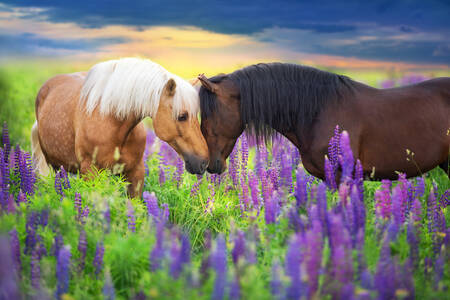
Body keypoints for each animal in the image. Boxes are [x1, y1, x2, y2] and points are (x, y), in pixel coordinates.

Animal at [31, 57, 209, 198]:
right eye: (182, 116)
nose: (204, 163)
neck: (112, 124)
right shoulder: (90, 173)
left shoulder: (136, 172)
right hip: (54, 165)